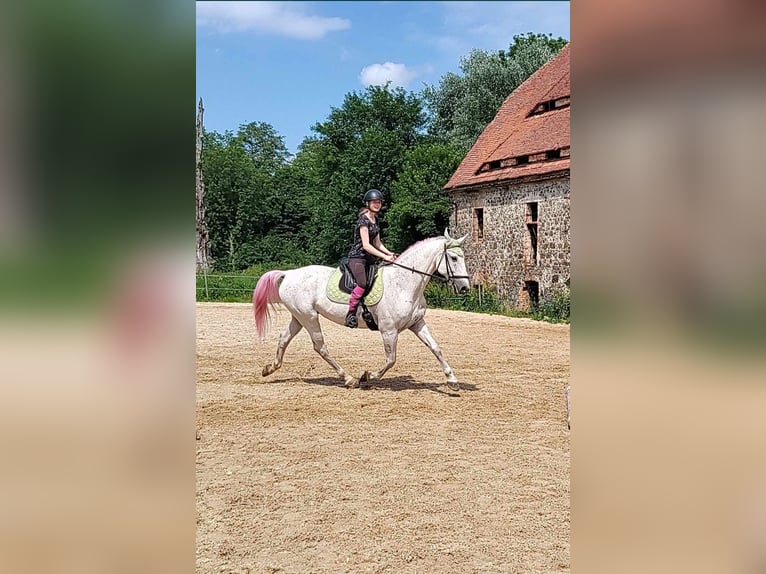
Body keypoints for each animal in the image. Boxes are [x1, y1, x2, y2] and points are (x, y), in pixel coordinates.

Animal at [255, 232, 474, 394]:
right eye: (453, 258)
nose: (465, 288)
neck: (404, 283)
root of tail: (289, 273)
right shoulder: (389, 330)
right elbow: (391, 359)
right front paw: (366, 377)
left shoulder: (417, 323)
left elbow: (436, 348)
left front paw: (452, 380)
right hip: (309, 317)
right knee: (320, 347)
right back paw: (349, 379)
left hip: (299, 317)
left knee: (284, 338)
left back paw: (270, 368)